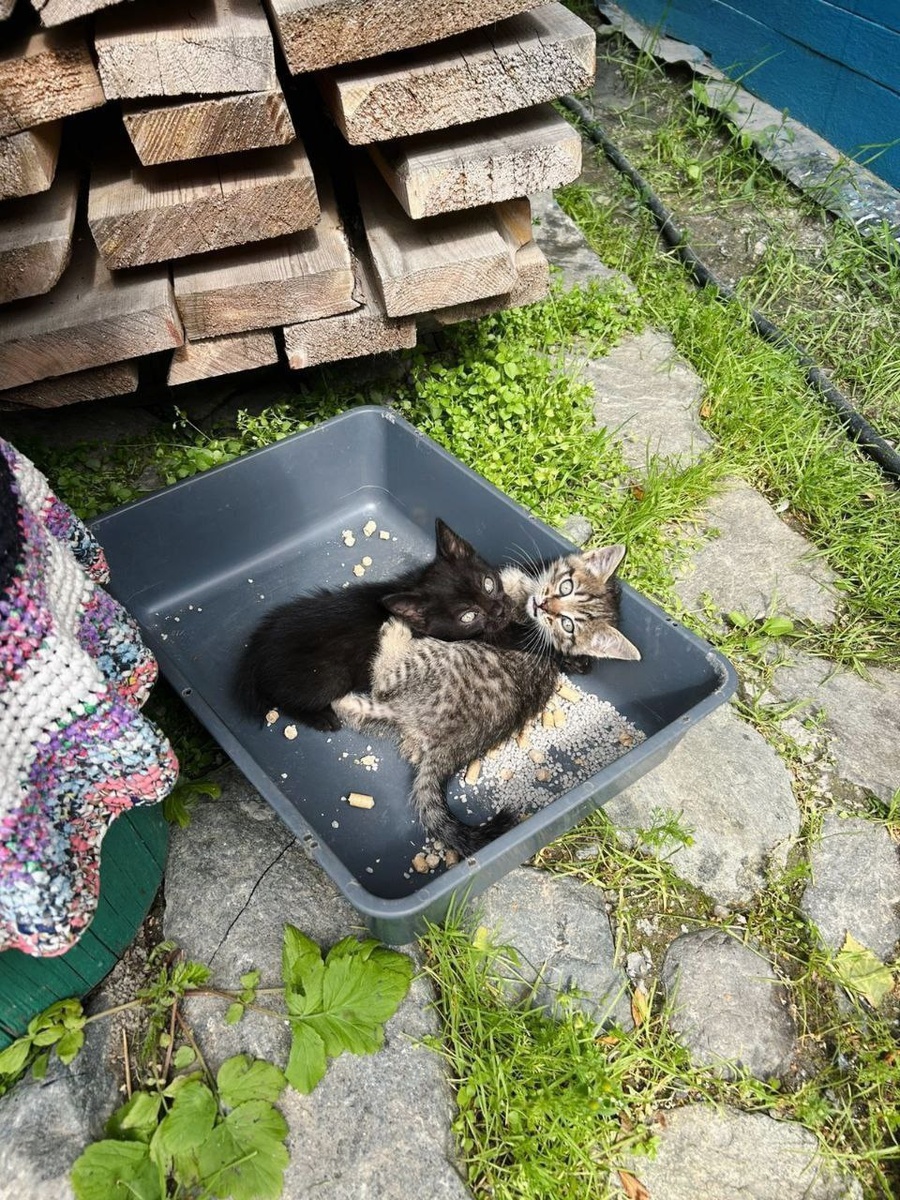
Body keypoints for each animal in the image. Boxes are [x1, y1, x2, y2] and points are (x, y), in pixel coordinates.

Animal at [235, 518, 514, 731]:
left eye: (488, 584)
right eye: (468, 616)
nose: (499, 611)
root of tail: (257, 652)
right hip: (329, 677)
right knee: (285, 700)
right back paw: (322, 719)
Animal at [333, 544, 641, 855]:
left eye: (568, 624)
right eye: (567, 587)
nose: (543, 606)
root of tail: (454, 749)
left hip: (441, 656)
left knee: (384, 683)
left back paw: (395, 630)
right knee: (367, 711)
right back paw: (342, 702)